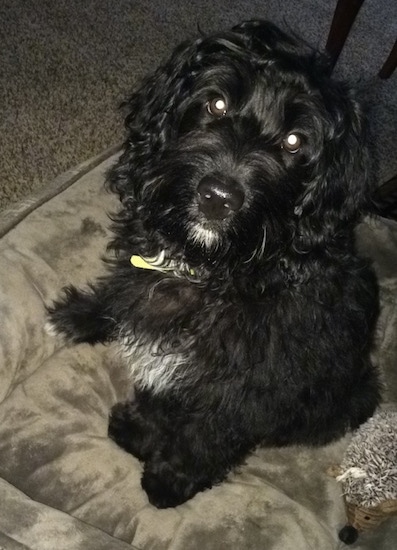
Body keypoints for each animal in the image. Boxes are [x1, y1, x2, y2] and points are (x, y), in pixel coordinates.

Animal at [48, 21, 380, 512]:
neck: (213, 269)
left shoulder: (245, 387)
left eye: (295, 141)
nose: (218, 197)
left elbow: (205, 433)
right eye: (216, 104)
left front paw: (168, 476)